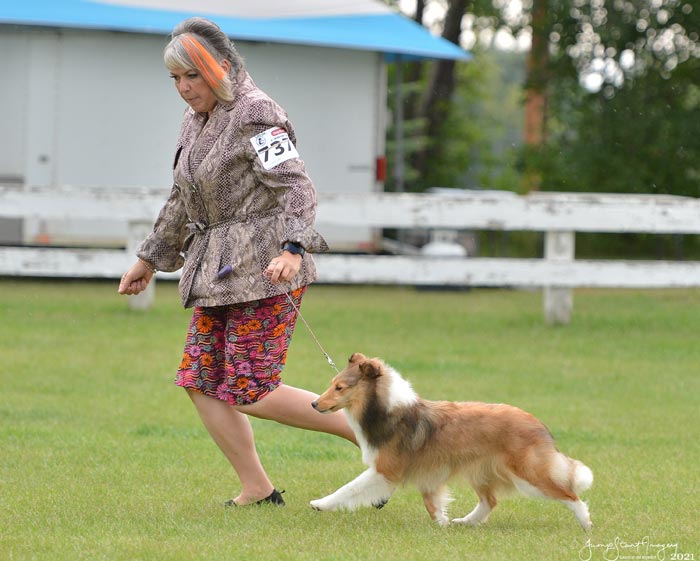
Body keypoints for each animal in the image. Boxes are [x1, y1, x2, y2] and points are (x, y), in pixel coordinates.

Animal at [310, 353, 593, 529]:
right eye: (332, 384)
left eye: (340, 387)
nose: (313, 404)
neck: (388, 409)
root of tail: (538, 424)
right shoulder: (428, 474)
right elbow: (432, 503)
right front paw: (442, 524)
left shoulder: (386, 469)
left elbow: (349, 488)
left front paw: (320, 504)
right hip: (481, 470)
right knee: (489, 501)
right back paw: (465, 522)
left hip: (528, 474)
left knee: (570, 494)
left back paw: (586, 524)